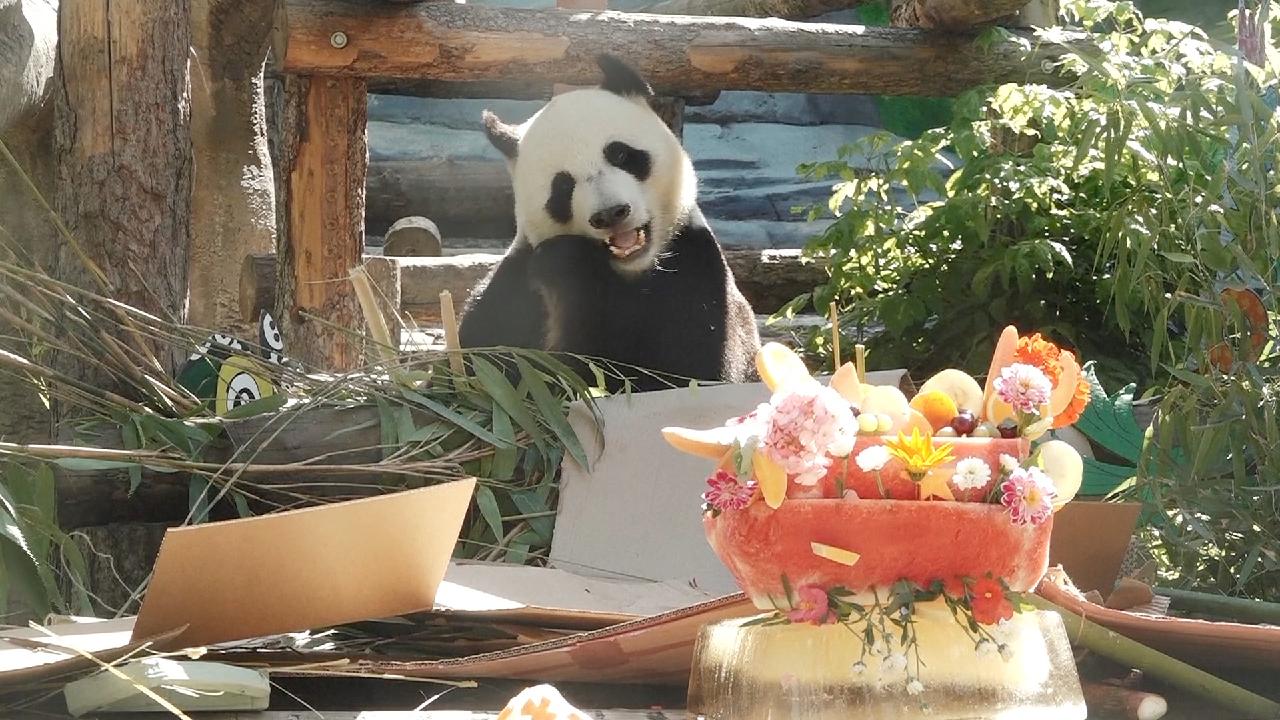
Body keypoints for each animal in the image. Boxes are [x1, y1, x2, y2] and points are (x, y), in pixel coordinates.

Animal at [457, 55, 760, 392]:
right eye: (563, 186)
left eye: (621, 154)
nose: (611, 213)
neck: (630, 272)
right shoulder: (511, 291)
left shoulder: (695, 270)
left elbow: (688, 371)